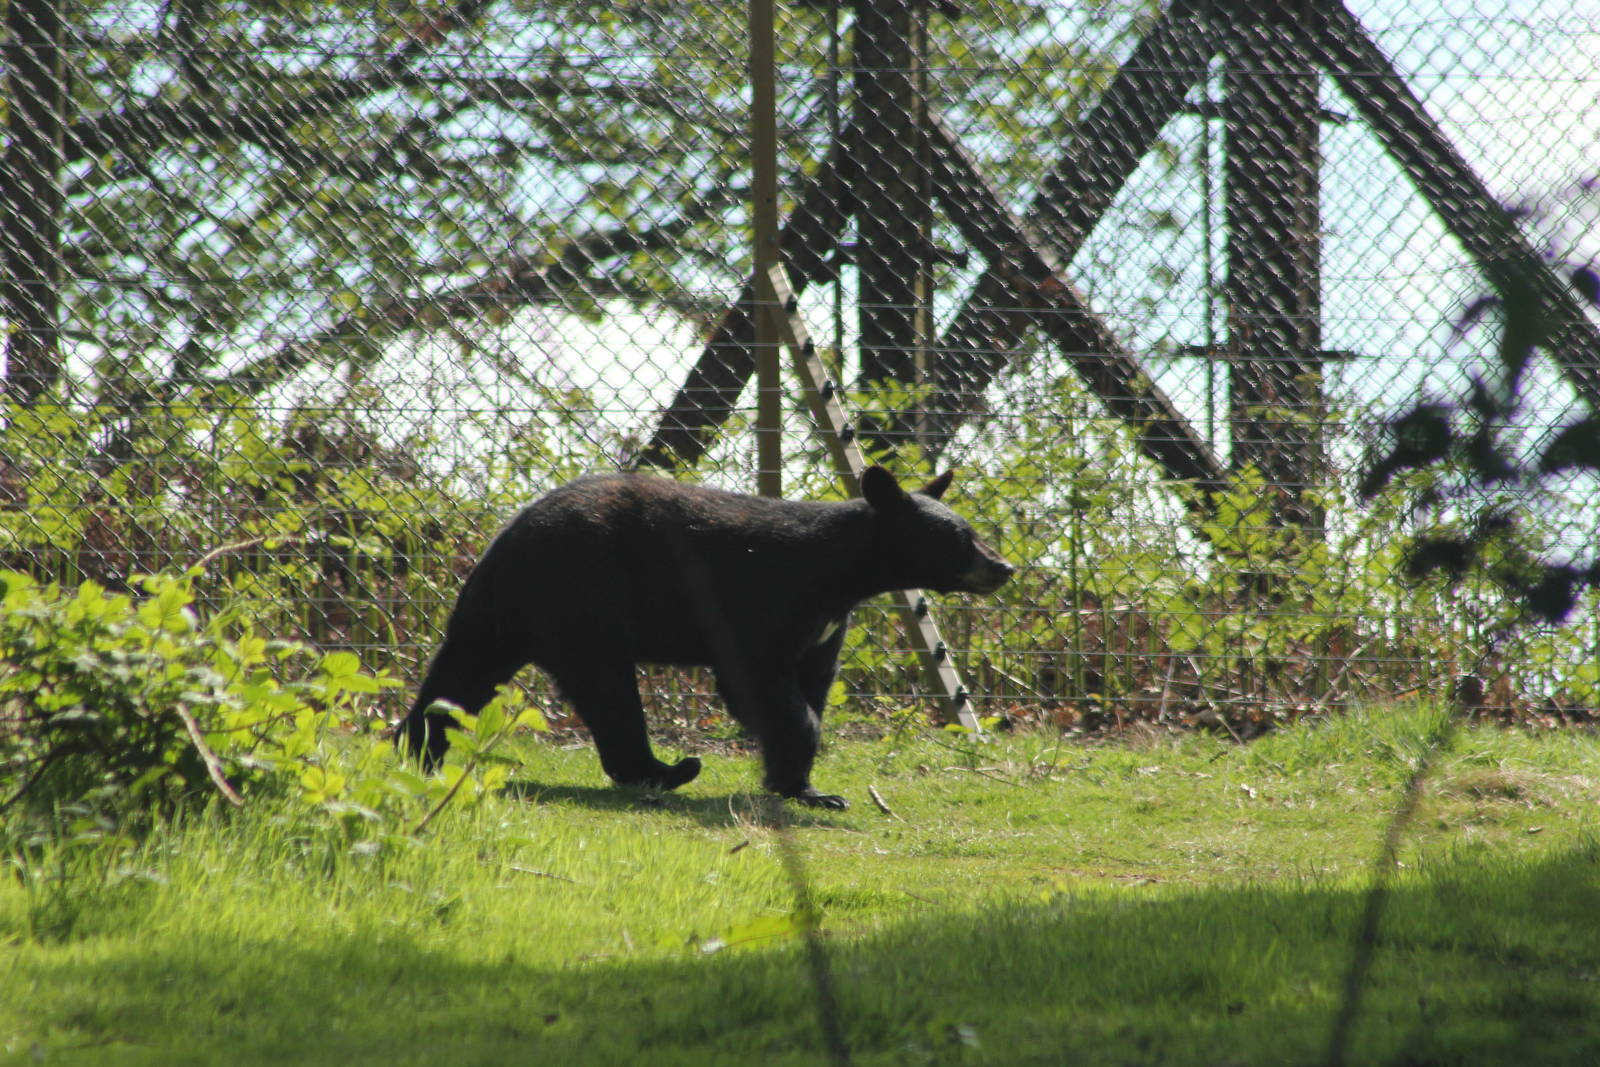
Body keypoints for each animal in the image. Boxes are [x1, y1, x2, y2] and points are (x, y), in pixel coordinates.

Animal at [396, 465, 1013, 809]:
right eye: (961, 538)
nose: (1004, 567)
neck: (840, 575)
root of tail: (503, 542)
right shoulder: (764, 600)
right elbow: (758, 683)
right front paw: (807, 781)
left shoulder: (827, 624)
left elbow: (814, 682)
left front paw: (805, 788)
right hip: (582, 600)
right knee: (608, 692)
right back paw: (667, 771)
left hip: (501, 615)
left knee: (459, 676)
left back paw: (415, 752)